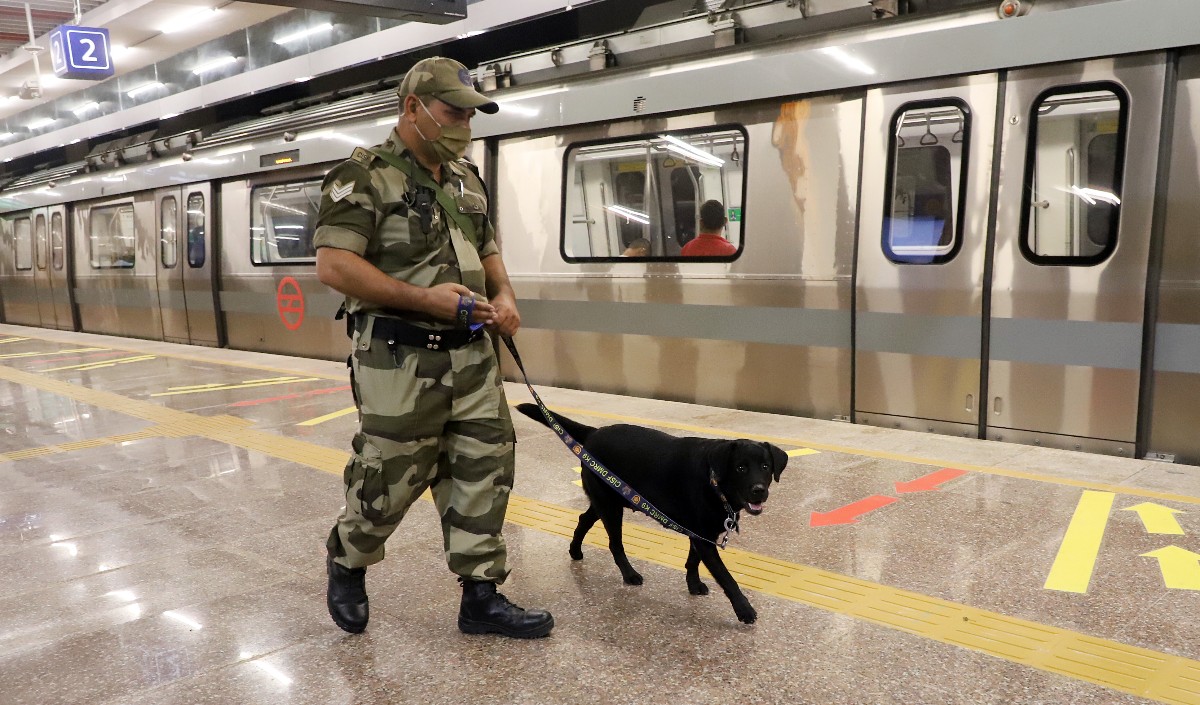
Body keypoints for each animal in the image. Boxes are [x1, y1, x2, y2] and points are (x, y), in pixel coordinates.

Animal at [516, 402, 787, 623]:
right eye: (741, 468)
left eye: (765, 466)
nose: (759, 490)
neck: (715, 482)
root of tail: (594, 432)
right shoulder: (704, 539)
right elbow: (726, 577)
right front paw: (744, 609)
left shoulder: (700, 535)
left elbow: (692, 561)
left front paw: (694, 584)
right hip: (611, 508)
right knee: (615, 544)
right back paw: (629, 574)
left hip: (606, 501)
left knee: (584, 519)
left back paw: (575, 550)